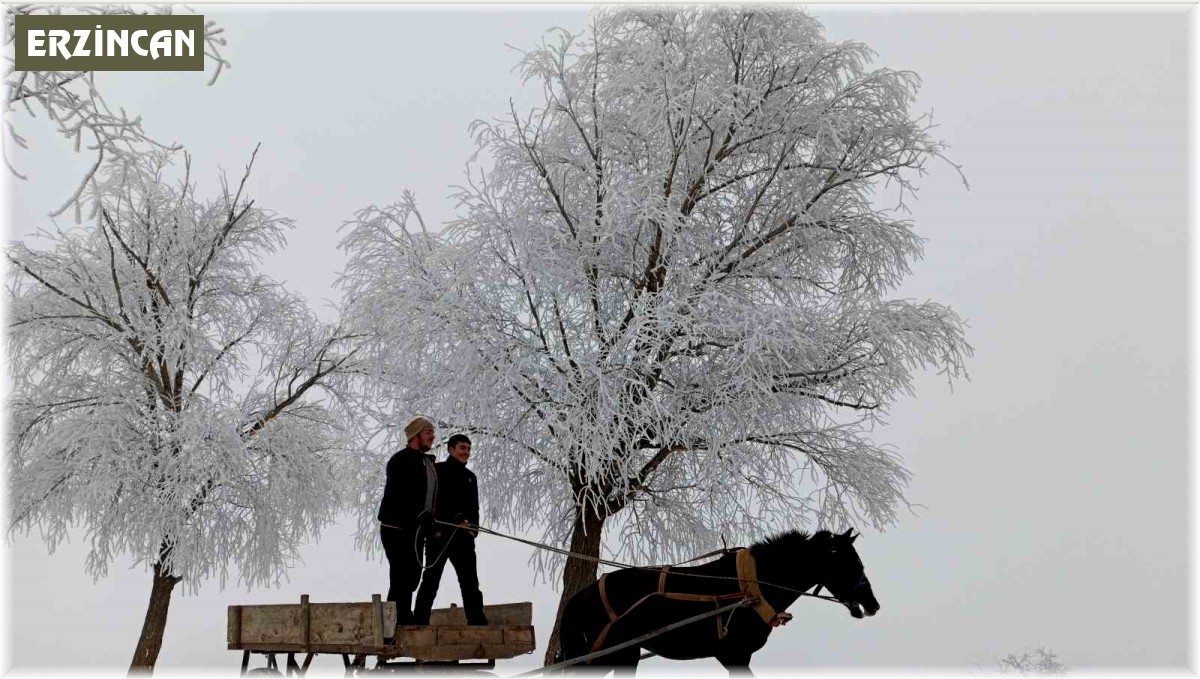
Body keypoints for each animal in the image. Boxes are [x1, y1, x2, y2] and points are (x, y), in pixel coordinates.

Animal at [554, 532, 883, 676]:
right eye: (848, 562)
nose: (873, 604)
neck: (753, 585)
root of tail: (582, 596)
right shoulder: (734, 654)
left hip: (621, 654)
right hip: (610, 654)